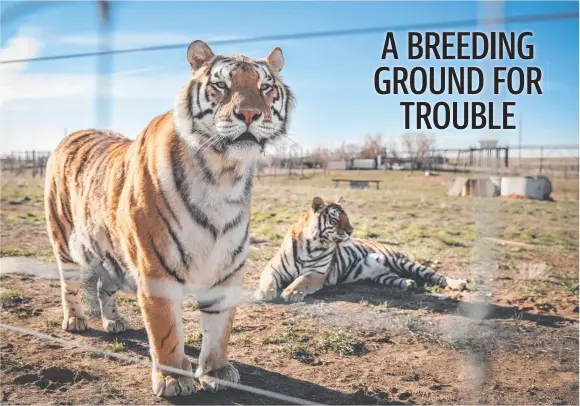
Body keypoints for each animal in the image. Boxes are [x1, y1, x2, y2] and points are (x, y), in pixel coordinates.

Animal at [44, 41, 294, 396]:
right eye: (222, 85)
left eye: (265, 87)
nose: (249, 114)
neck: (224, 175)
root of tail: (72, 133)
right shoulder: (156, 268)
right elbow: (166, 331)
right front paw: (173, 378)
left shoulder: (227, 269)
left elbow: (219, 329)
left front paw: (216, 371)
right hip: (64, 239)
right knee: (70, 283)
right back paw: (75, 320)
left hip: (110, 250)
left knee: (105, 286)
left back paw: (114, 322)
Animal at [254, 197, 466, 302]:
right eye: (336, 220)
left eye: (347, 218)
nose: (351, 231)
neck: (312, 244)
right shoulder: (272, 268)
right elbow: (267, 280)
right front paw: (264, 293)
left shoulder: (318, 273)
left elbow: (301, 280)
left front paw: (291, 292)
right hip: (383, 275)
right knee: (397, 278)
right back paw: (409, 284)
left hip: (402, 261)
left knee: (436, 275)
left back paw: (458, 284)